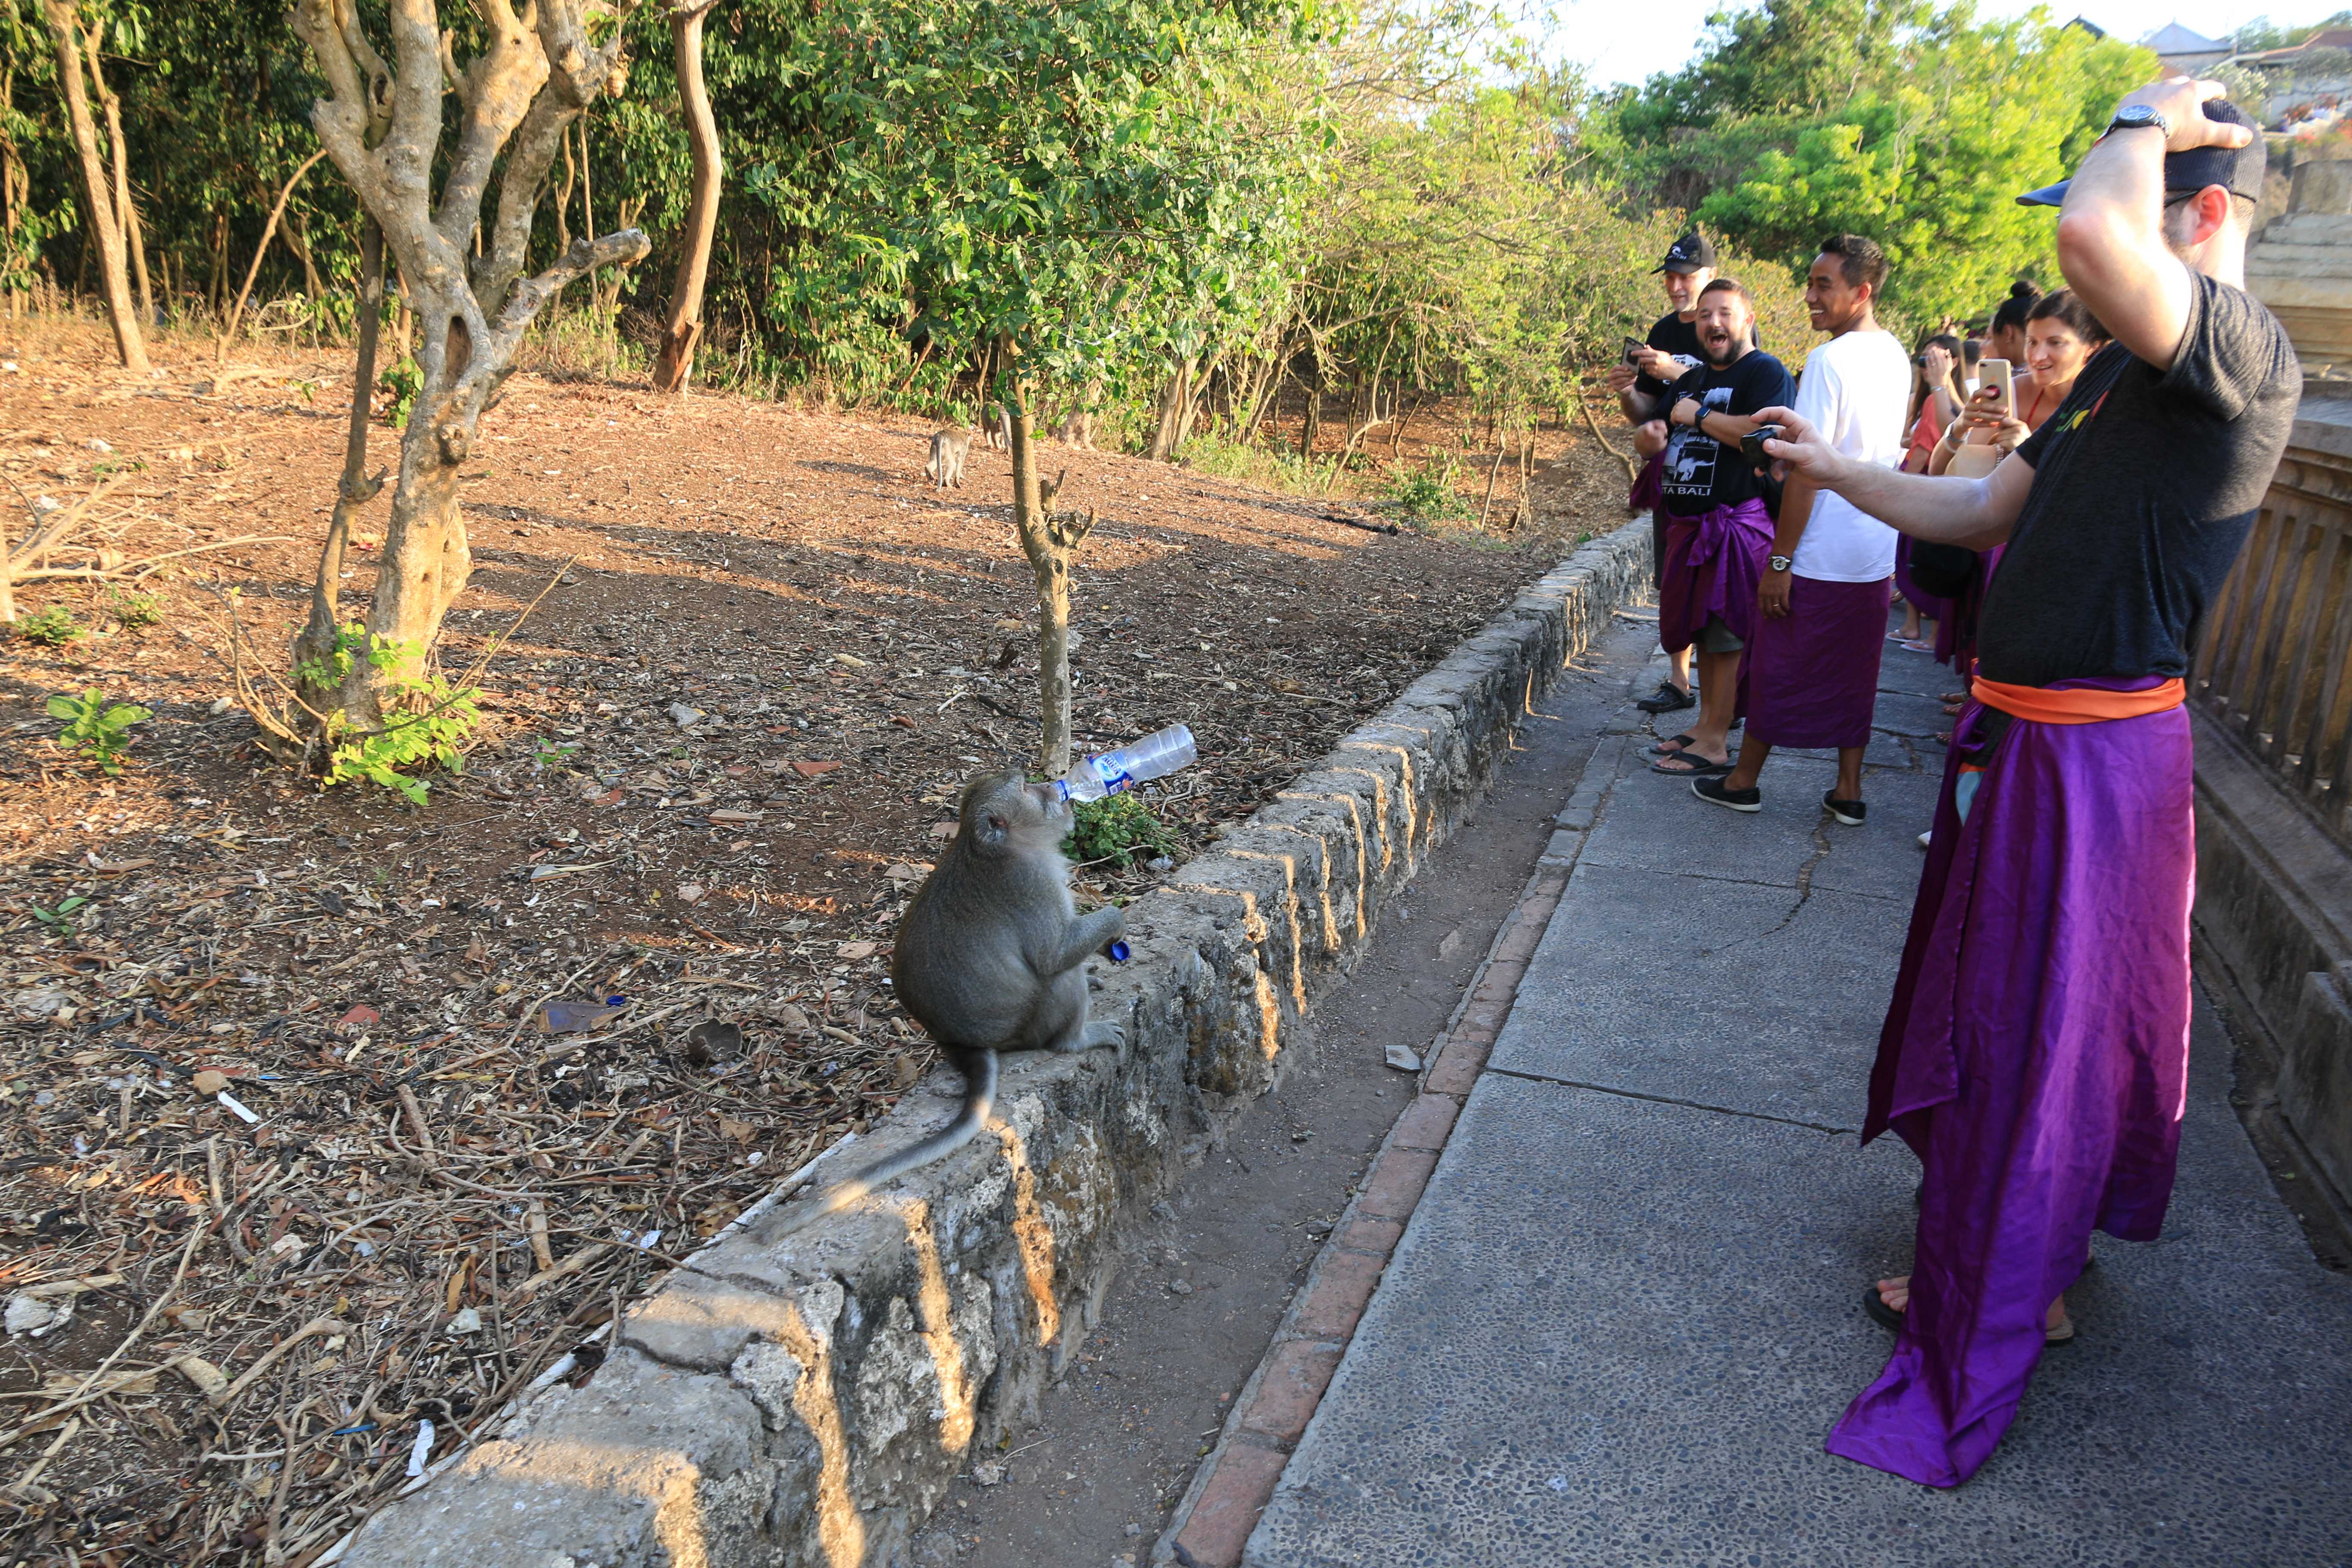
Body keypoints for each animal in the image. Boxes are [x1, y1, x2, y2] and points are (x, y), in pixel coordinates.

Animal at [775, 770, 1125, 1232]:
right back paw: (1076, 1040)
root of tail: (958, 1043)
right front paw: (1115, 923)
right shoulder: (1029, 883)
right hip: (1026, 1026)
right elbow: (1055, 955)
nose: (1053, 786)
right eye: (1027, 789)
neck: (996, 847)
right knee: (1057, 979)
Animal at [925, 426, 973, 490]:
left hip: (934, 445)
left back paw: (928, 469)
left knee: (935, 461)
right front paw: (957, 482)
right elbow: (960, 460)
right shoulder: (964, 447)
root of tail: (941, 435)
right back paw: (946, 482)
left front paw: (961, 477)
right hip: (948, 447)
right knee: (951, 463)